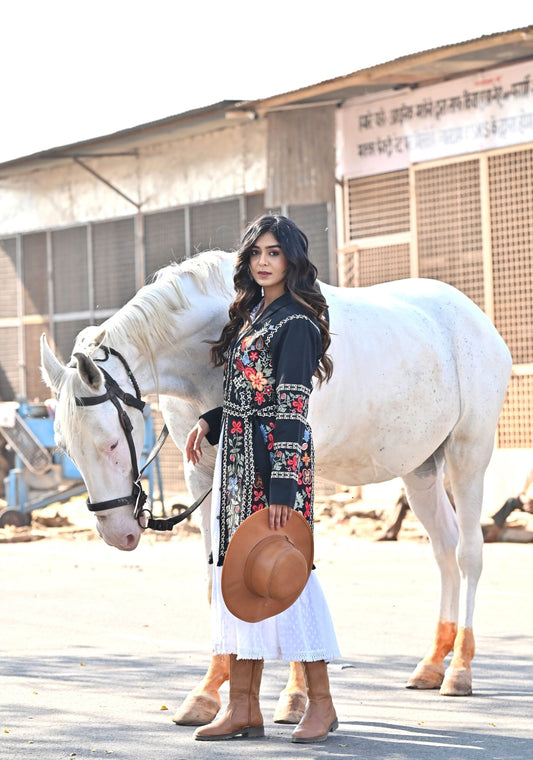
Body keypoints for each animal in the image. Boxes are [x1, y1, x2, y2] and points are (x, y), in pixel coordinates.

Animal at [40, 251, 508, 724]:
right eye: (64, 447)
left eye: (111, 442)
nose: (117, 532)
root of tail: (478, 321)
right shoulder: (202, 475)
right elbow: (216, 578)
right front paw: (208, 692)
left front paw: (295, 695)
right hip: (420, 469)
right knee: (444, 549)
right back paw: (432, 663)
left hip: (469, 453)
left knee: (468, 553)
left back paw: (460, 668)